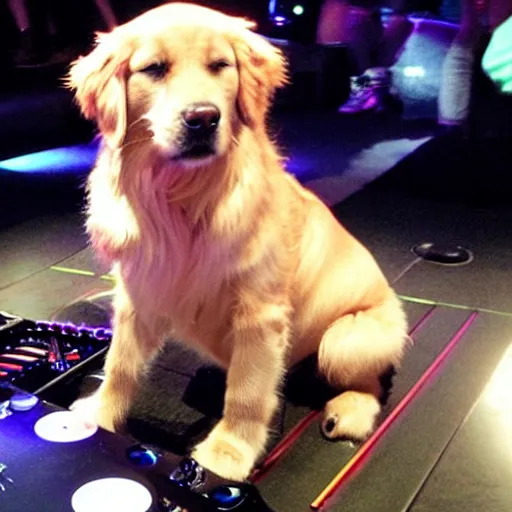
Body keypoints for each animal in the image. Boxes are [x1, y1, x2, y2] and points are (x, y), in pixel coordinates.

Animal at [68, 2, 410, 482]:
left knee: (373, 382)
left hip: (347, 340)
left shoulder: (260, 315)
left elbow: (247, 393)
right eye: (154, 69)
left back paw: (349, 411)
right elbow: (119, 364)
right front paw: (100, 414)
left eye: (219, 65)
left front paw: (228, 454)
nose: (203, 118)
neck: (182, 197)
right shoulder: (140, 293)